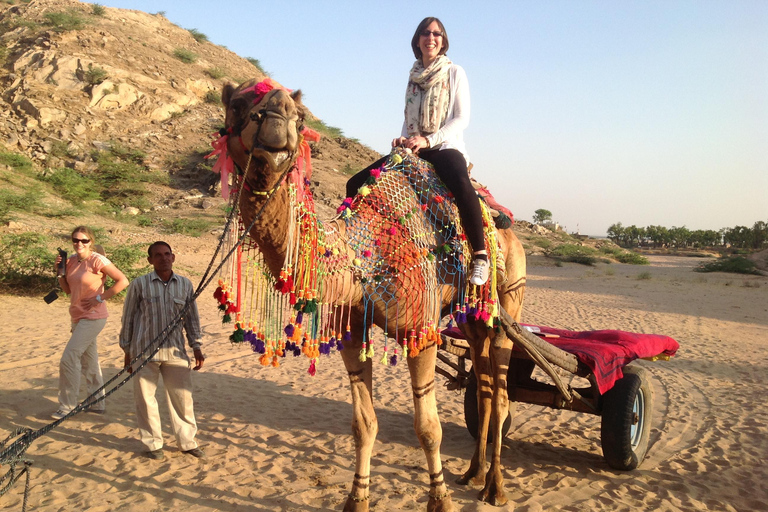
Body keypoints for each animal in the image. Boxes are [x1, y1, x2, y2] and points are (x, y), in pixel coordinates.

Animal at [219, 78, 524, 510]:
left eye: (300, 116)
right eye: (239, 104)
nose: (278, 116)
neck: (367, 250)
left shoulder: (420, 332)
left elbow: (428, 428)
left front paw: (440, 500)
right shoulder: (351, 331)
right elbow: (363, 424)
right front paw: (357, 499)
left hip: (509, 296)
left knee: (499, 396)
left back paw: (496, 487)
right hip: (472, 316)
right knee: (481, 385)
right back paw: (473, 474)